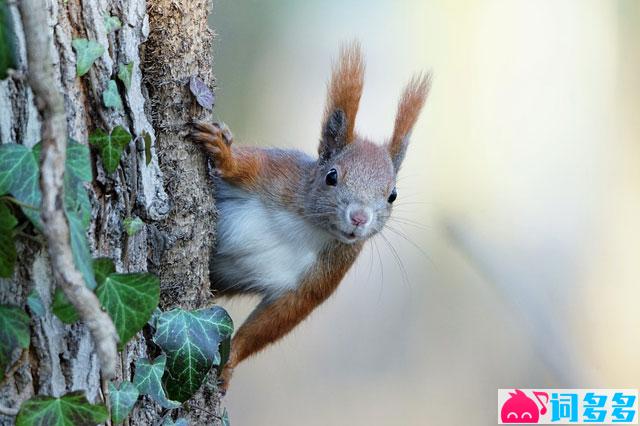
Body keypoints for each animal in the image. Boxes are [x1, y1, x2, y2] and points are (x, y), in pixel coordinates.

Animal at [190, 41, 430, 392]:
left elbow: (278, 318)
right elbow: (245, 165)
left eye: (392, 195)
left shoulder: (328, 271)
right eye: (331, 176)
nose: (359, 218)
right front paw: (225, 154)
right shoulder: (278, 173)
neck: (307, 225)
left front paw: (230, 360)